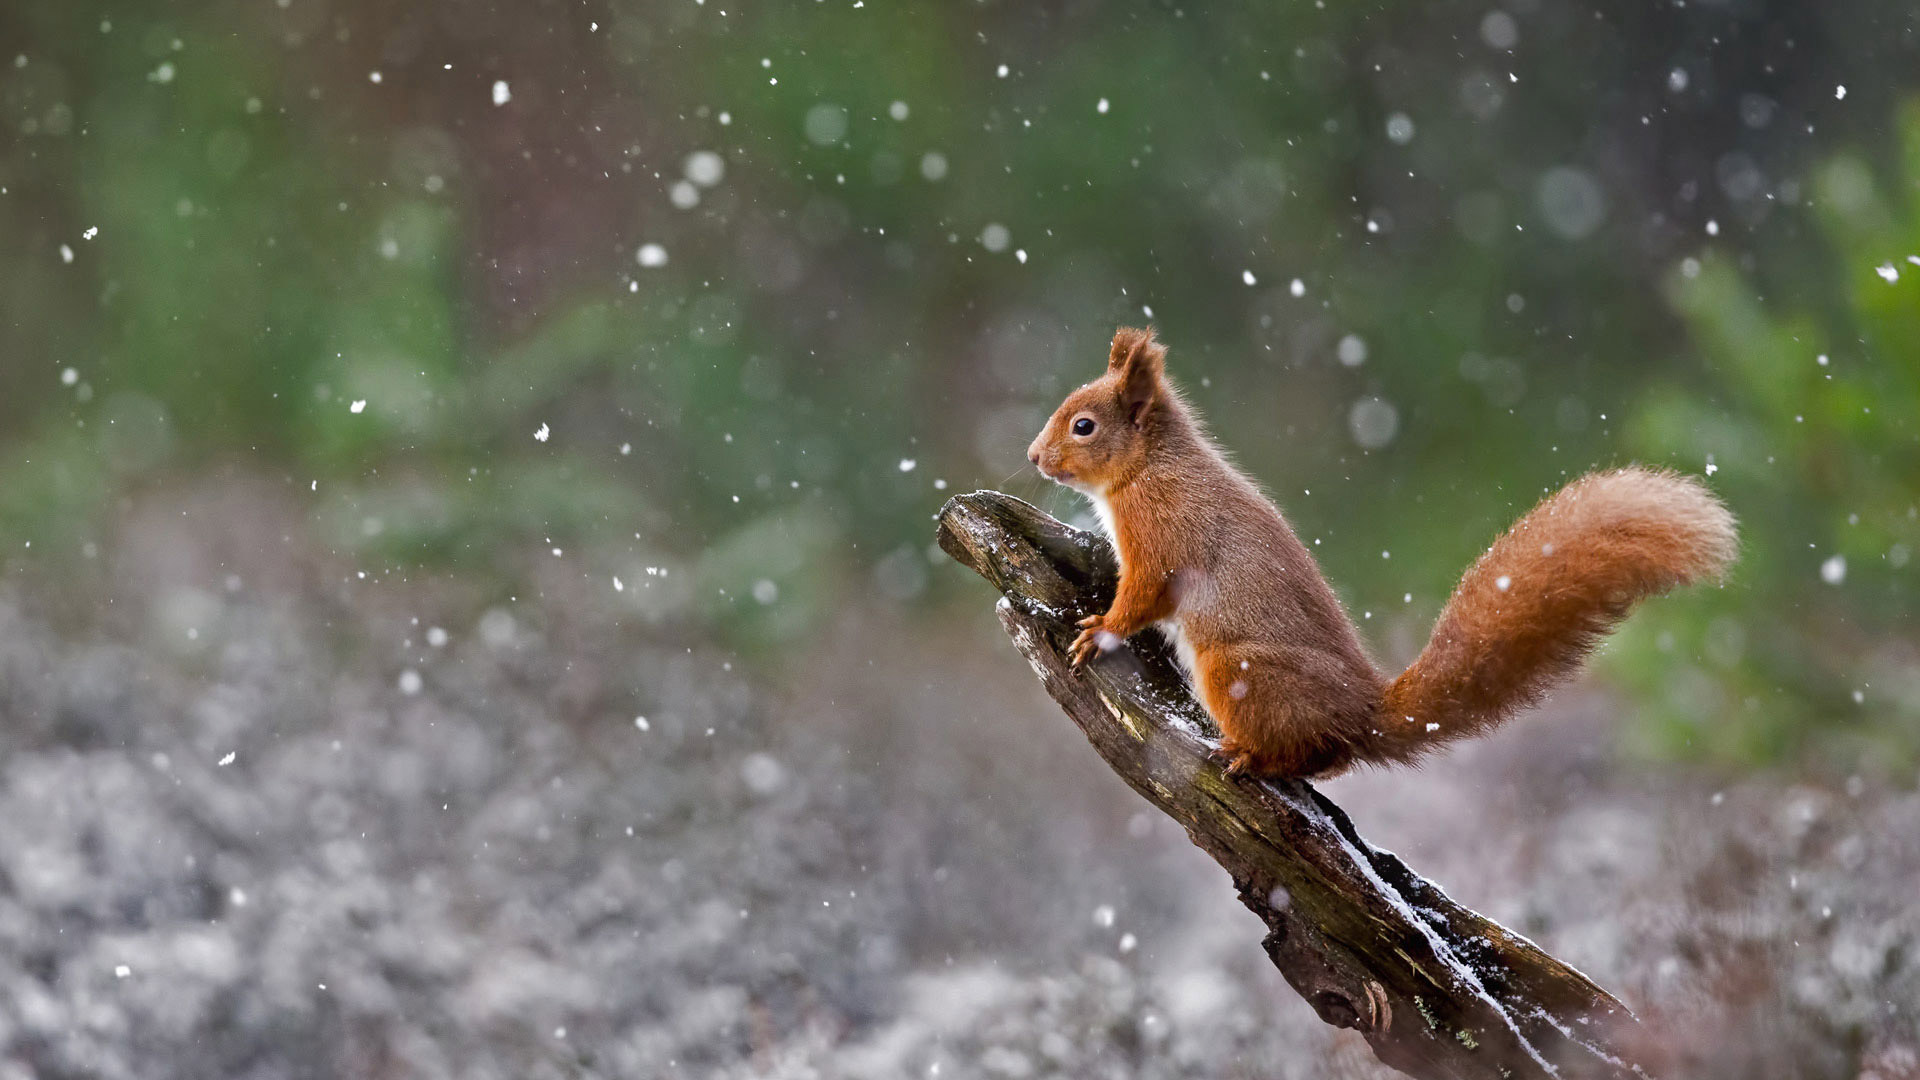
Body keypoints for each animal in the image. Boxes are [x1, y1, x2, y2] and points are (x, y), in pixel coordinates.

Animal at [1029, 326, 1751, 772]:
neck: (1150, 467)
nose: (1034, 457)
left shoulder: (1160, 531)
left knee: (1315, 755)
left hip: (1238, 670)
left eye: (1084, 426)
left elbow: (1143, 594)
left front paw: (1099, 631)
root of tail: (1364, 712)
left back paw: (1254, 757)